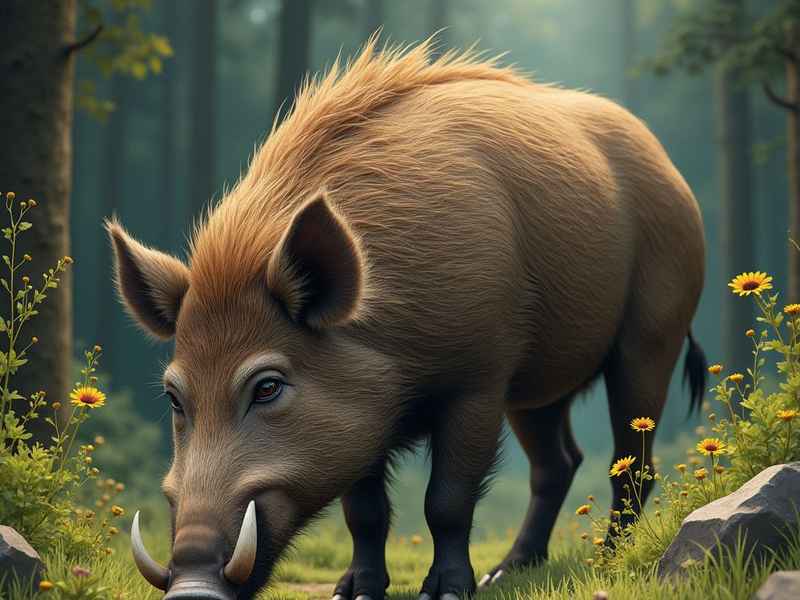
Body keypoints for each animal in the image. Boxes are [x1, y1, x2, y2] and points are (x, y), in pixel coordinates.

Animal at [109, 38, 706, 600]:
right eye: (173, 397)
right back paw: (507, 572)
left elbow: (447, 498)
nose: (191, 586)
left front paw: (446, 590)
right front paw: (353, 592)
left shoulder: (480, 378)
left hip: (654, 332)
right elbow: (365, 511)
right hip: (538, 387)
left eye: (268, 386)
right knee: (558, 462)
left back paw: (603, 561)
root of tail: (674, 173)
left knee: (631, 460)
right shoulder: (360, 416)